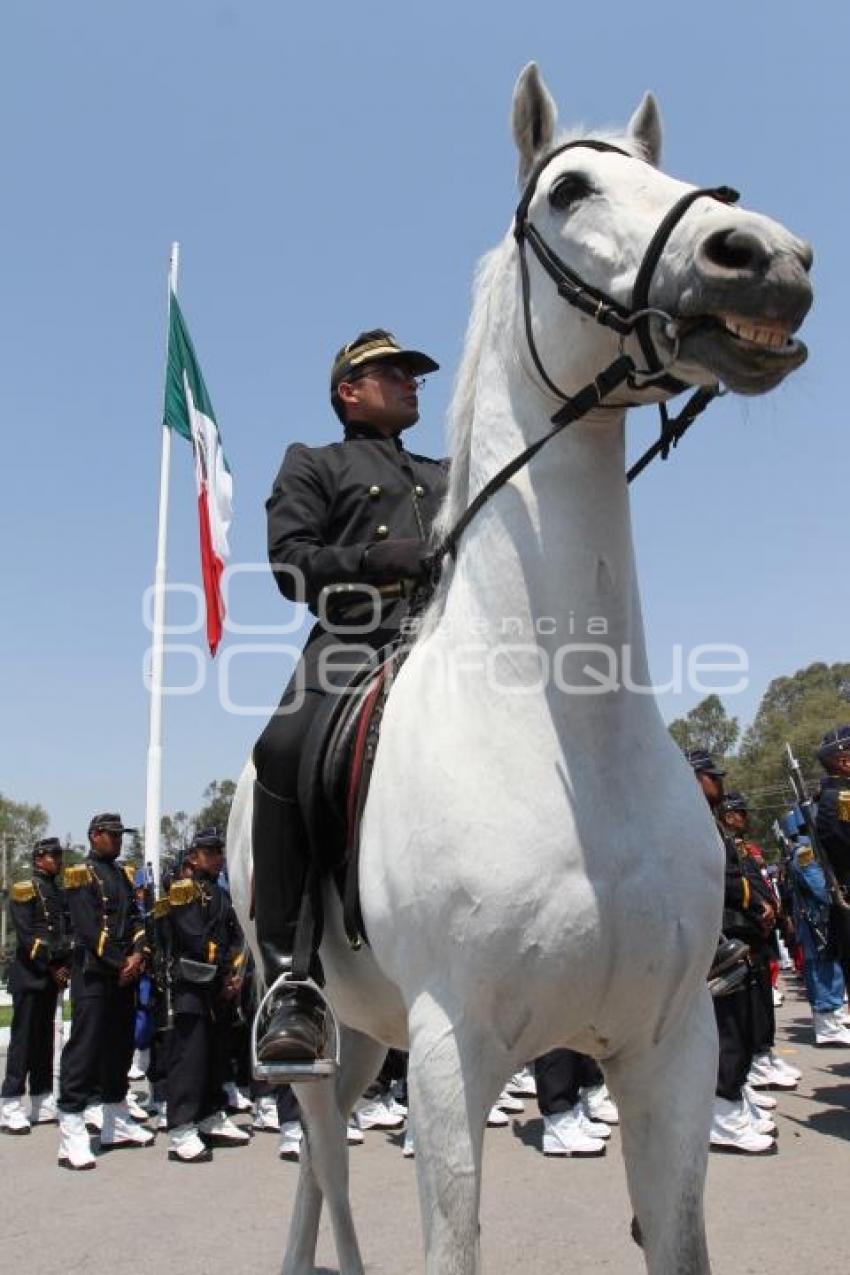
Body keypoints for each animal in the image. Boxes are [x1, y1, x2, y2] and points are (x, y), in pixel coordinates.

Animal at [229, 67, 815, 1275]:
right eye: (570, 190)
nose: (765, 258)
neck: (566, 737)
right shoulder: (453, 1054)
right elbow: (450, 1241)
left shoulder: (671, 1047)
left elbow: (677, 1235)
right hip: (312, 1022)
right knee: (330, 1162)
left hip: (370, 1033)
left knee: (320, 1169)